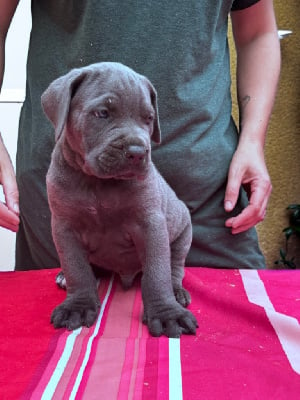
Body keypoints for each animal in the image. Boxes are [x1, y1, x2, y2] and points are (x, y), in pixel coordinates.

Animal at [41, 61, 198, 338]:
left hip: (182, 232)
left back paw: (177, 292)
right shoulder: (64, 227)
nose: (137, 152)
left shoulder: (151, 225)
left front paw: (167, 314)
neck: (98, 183)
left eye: (148, 119)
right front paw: (77, 306)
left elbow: (157, 273)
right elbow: (76, 268)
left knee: (174, 267)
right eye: (103, 113)